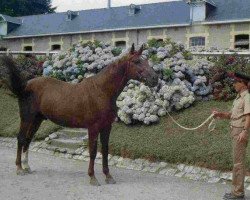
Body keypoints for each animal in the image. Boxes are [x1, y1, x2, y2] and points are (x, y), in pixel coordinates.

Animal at [0, 44, 158, 186]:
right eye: (137, 61)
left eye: (146, 60)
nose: (155, 78)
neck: (102, 91)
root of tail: (25, 86)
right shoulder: (93, 127)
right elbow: (93, 151)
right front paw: (93, 178)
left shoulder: (107, 127)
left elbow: (105, 150)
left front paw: (108, 176)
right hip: (27, 118)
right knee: (21, 138)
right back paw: (19, 168)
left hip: (37, 120)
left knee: (27, 139)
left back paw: (27, 166)